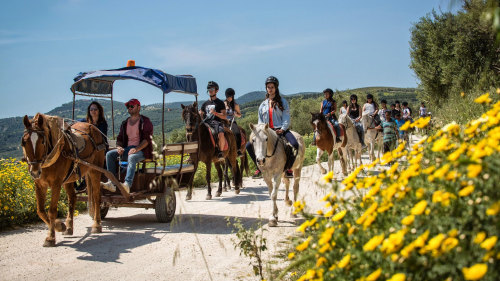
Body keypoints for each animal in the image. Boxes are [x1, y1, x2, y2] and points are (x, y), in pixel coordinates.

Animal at [21, 112, 105, 246]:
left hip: (95, 170)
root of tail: (92, 126)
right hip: (69, 178)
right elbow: (40, 210)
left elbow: (52, 211)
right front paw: (60, 226)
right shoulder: (39, 184)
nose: (34, 171)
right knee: (72, 198)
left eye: (42, 141)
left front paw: (50, 237)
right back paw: (69, 227)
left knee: (97, 197)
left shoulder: (56, 183)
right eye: (24, 142)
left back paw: (96, 225)